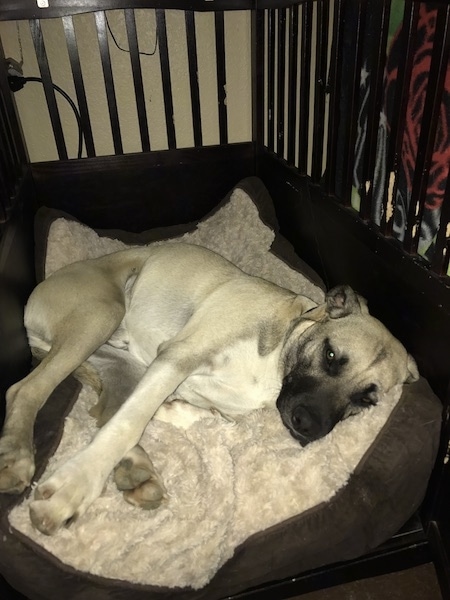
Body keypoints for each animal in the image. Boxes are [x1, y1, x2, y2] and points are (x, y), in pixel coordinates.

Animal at [0, 244, 418, 536]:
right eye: (331, 355)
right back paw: (20, 458)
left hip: (117, 355)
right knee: (25, 391)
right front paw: (72, 490)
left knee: (106, 407)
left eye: (365, 400)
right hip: (100, 315)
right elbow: (131, 422)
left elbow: (210, 417)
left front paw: (180, 411)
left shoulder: (191, 380)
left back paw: (136, 468)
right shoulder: (177, 357)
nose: (308, 427)